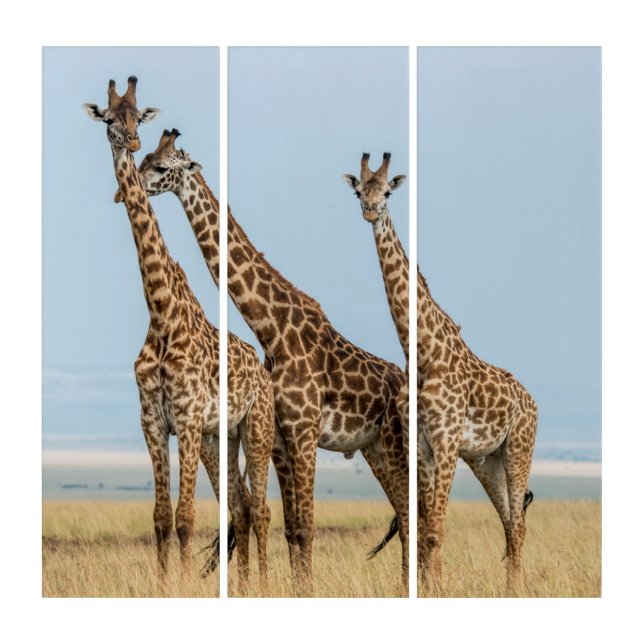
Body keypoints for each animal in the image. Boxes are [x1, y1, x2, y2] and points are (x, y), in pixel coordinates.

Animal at [83, 79, 274, 595]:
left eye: (137, 120)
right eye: (110, 119)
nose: (129, 144)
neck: (162, 314)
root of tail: (263, 370)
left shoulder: (186, 420)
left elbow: (186, 517)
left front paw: (183, 585)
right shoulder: (153, 422)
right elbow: (159, 517)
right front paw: (163, 582)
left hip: (257, 428)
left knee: (262, 508)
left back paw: (266, 582)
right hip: (219, 438)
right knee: (241, 507)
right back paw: (243, 587)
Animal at [133, 131, 409, 596]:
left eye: (161, 166)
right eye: (146, 157)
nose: (131, 184)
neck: (273, 328)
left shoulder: (304, 431)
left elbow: (307, 526)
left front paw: (306, 590)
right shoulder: (280, 436)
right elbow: (290, 526)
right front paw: (295, 588)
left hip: (394, 445)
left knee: (410, 515)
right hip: (372, 449)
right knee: (405, 515)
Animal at [343, 152, 538, 595]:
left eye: (388, 191)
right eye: (359, 191)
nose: (370, 211)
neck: (421, 354)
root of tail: (532, 401)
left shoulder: (446, 441)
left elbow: (434, 530)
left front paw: (436, 590)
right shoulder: (423, 445)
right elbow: (426, 528)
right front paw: (430, 588)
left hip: (519, 449)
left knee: (518, 525)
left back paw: (516, 591)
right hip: (487, 460)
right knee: (508, 523)